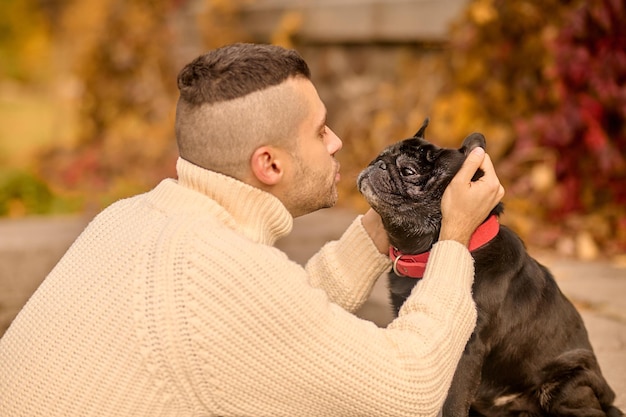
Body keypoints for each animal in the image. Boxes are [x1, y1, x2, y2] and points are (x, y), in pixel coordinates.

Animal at [356, 118, 620, 416]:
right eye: (382, 154)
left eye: (408, 171)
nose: (379, 163)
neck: (424, 254)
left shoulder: (466, 350)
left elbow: (452, 402)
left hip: (566, 386)